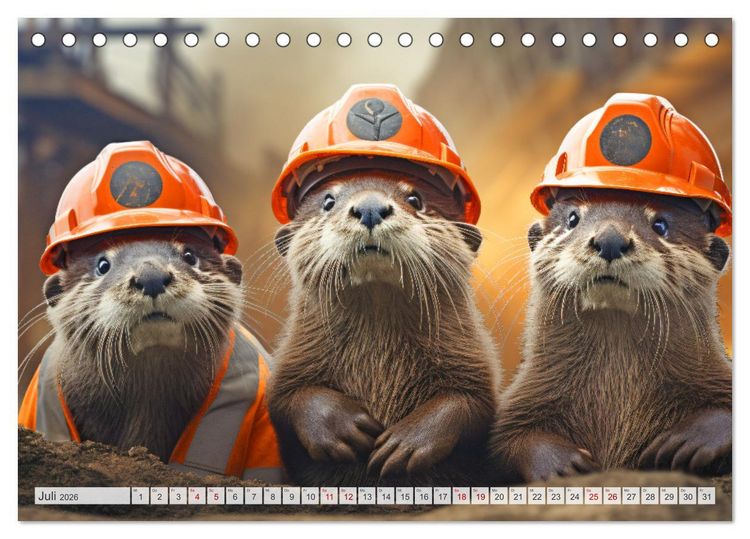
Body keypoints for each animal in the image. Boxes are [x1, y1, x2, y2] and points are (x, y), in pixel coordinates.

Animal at [267, 170, 500, 487]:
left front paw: (408, 443)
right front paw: (340, 427)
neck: (379, 361)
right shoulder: (291, 360)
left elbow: (470, 403)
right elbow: (289, 399)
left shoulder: (474, 362)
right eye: (328, 201)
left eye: (415, 198)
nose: (370, 207)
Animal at [490, 188, 731, 483]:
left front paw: (690, 440)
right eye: (573, 218)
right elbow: (507, 440)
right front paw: (561, 463)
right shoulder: (526, 396)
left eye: (660, 225)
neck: (616, 395)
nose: (610, 240)